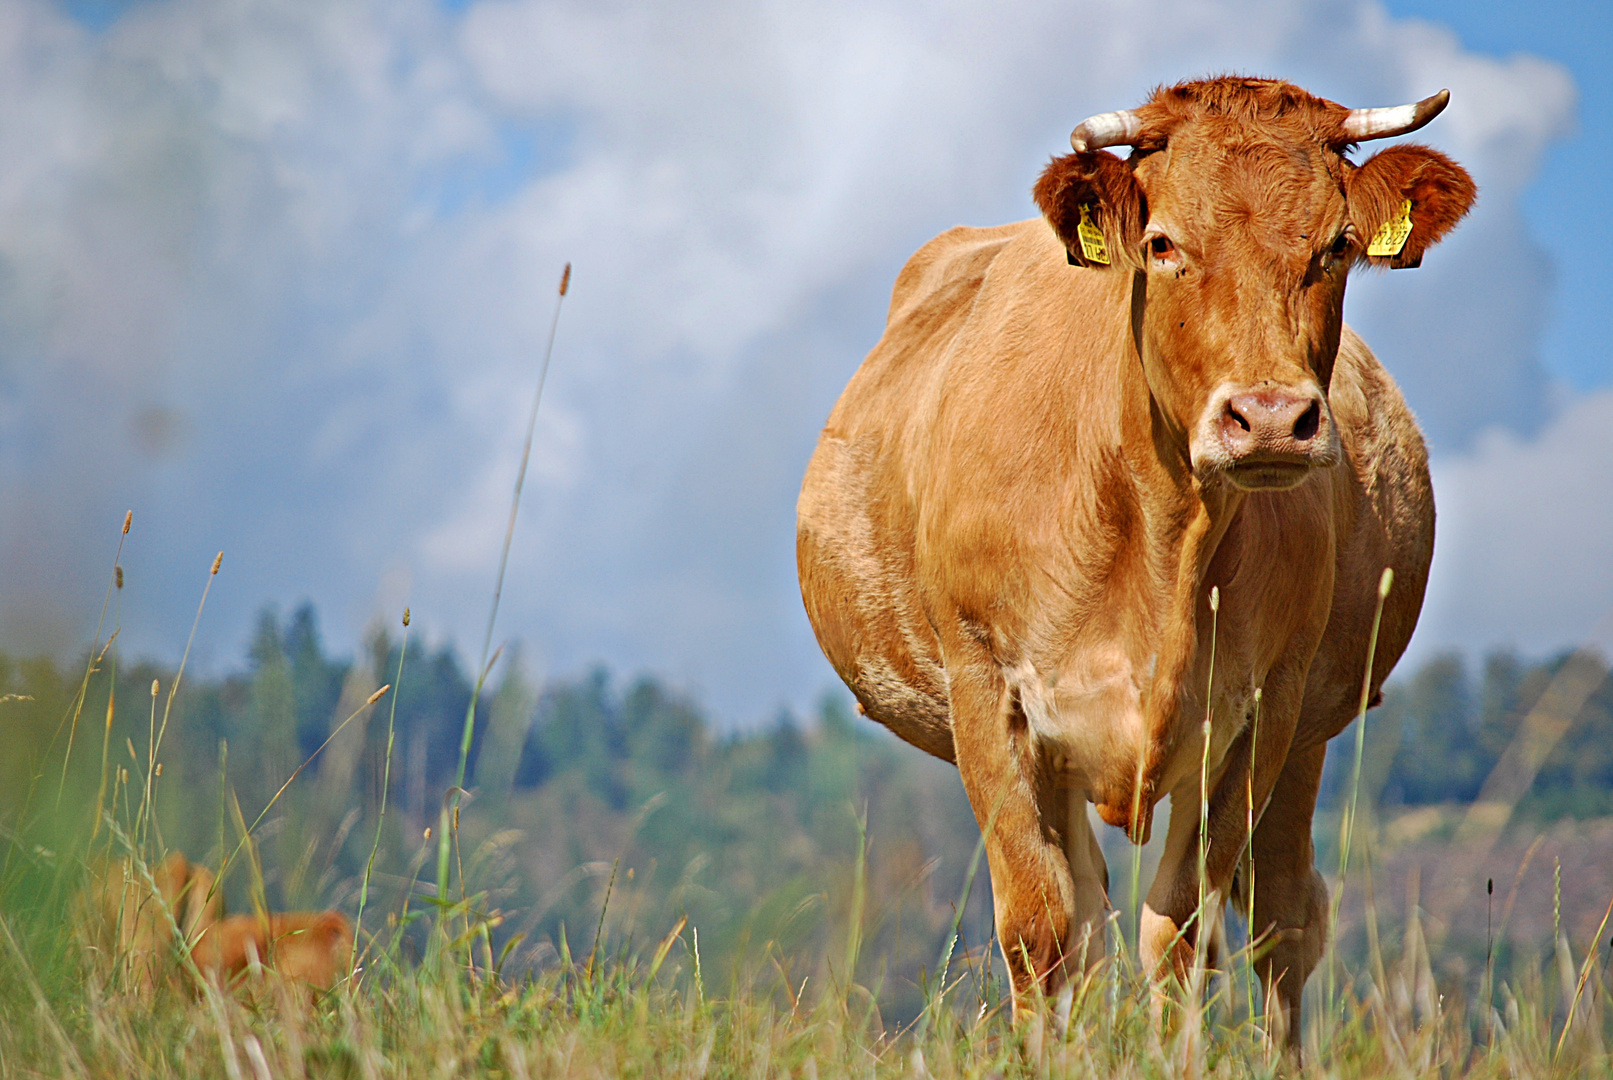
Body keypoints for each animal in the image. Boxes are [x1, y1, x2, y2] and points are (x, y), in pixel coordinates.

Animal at [793, 78, 1477, 1050]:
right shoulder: (985, 689)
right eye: (1161, 244)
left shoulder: (1262, 708)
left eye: (1336, 245)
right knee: (1085, 918)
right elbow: (1039, 927)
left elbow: (1182, 928)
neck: (1160, 537)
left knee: (1283, 917)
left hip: (1307, 731)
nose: (1271, 418)